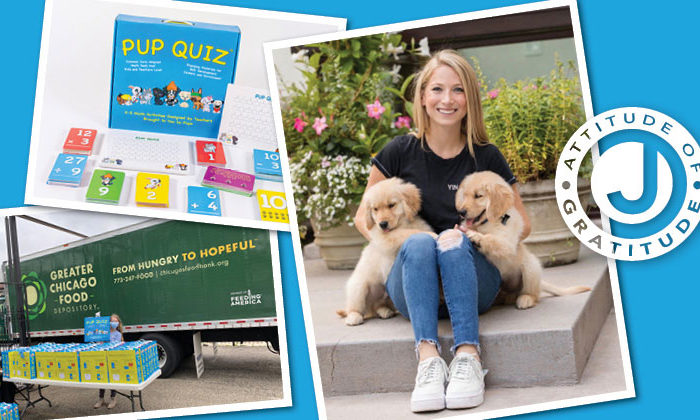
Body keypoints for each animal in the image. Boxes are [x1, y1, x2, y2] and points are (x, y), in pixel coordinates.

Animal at [336, 177, 434, 324]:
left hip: (384, 297)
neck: (402, 224)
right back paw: (354, 317)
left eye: (391, 205)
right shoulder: (384, 238)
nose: (382, 224)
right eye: (375, 209)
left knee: (378, 305)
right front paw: (434, 235)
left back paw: (384, 311)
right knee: (355, 307)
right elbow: (407, 233)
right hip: (358, 288)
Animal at [456, 170, 588, 308]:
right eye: (464, 196)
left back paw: (526, 298)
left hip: (531, 268)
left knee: (533, 294)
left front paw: (475, 236)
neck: (488, 222)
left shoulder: (508, 243)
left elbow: (492, 239)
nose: (461, 212)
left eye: (478, 196)